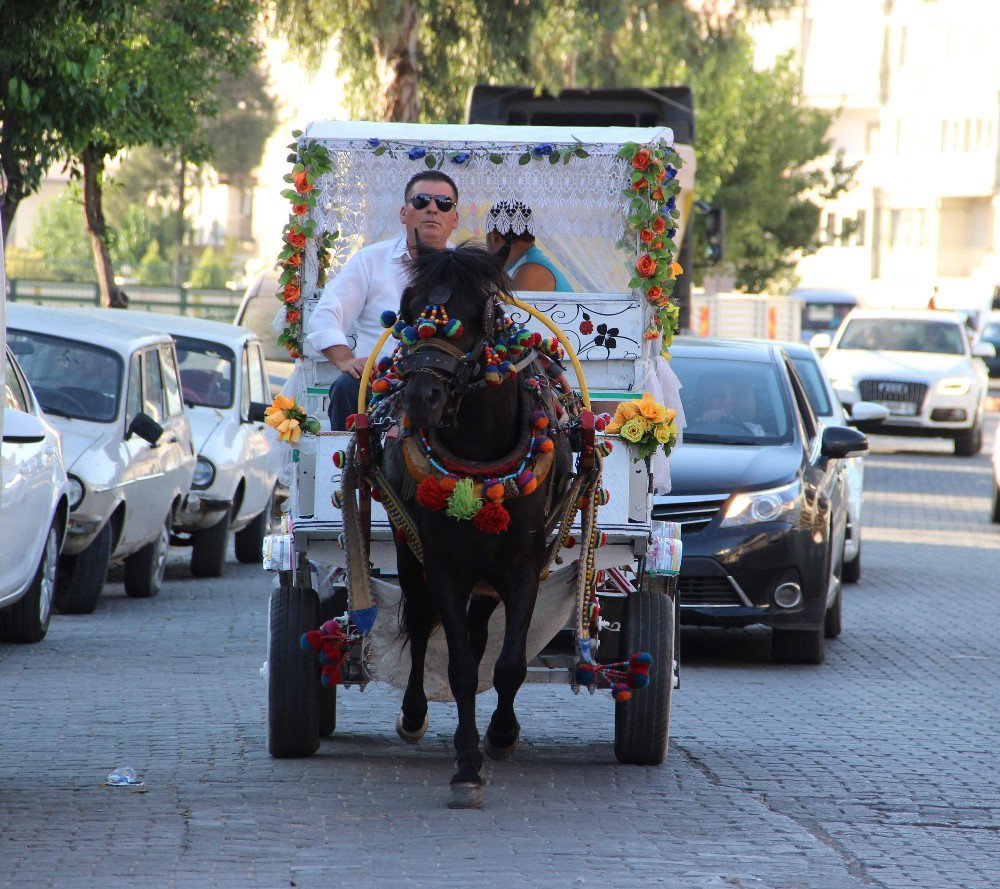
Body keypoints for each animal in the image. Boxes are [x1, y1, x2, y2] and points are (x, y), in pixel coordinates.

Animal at [380, 241, 572, 804]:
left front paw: (502, 734)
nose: (420, 399)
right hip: (409, 551)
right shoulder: (442, 564)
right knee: (421, 624)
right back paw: (413, 714)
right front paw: (466, 766)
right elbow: (462, 668)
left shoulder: (525, 565)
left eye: (473, 315)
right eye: (407, 310)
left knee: (480, 629)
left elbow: (509, 665)